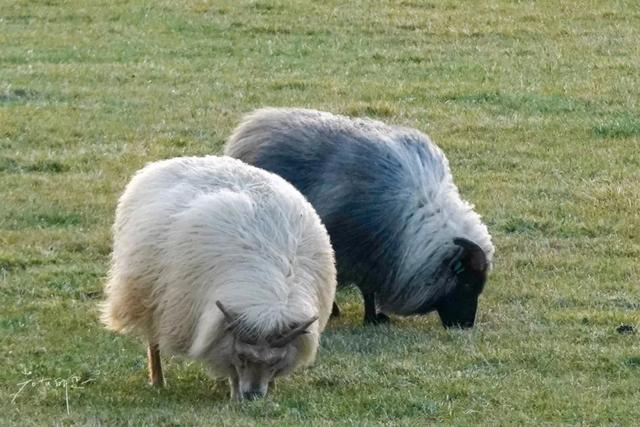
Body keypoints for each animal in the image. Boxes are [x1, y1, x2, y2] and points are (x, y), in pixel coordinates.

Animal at [100, 156, 336, 402]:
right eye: (242, 357)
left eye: (275, 361)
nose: (252, 395)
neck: (271, 299)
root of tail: (162, 163)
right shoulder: (221, 334)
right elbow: (230, 366)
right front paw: (234, 394)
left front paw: (270, 388)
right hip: (148, 296)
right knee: (153, 340)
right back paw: (158, 380)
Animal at [225, 108, 496, 330]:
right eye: (467, 284)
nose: (465, 326)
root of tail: (252, 125)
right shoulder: (359, 252)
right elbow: (365, 289)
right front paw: (370, 318)